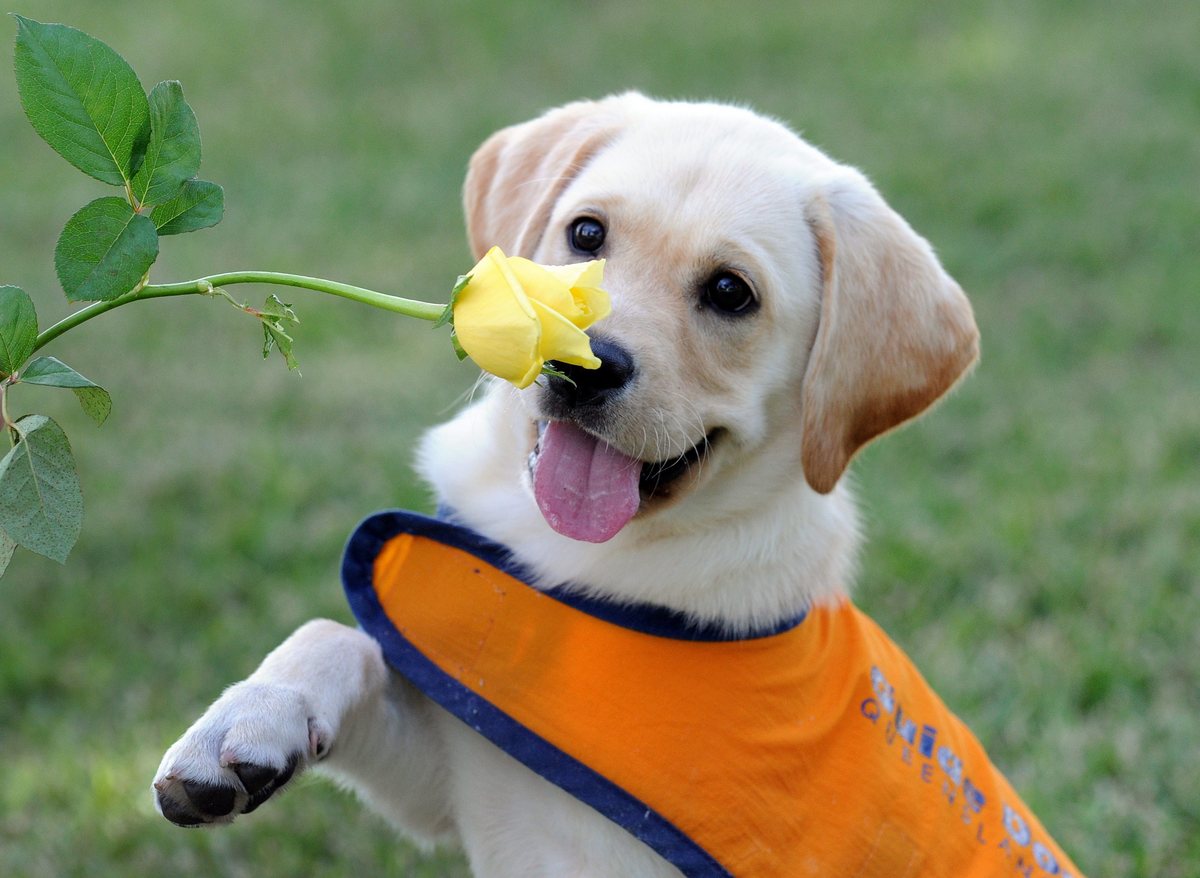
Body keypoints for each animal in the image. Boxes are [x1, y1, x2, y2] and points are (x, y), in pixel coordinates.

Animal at [154, 92, 1084, 873]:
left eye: (730, 292)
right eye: (587, 235)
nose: (585, 364)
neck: (580, 566)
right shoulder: (465, 771)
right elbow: (338, 636)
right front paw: (243, 724)